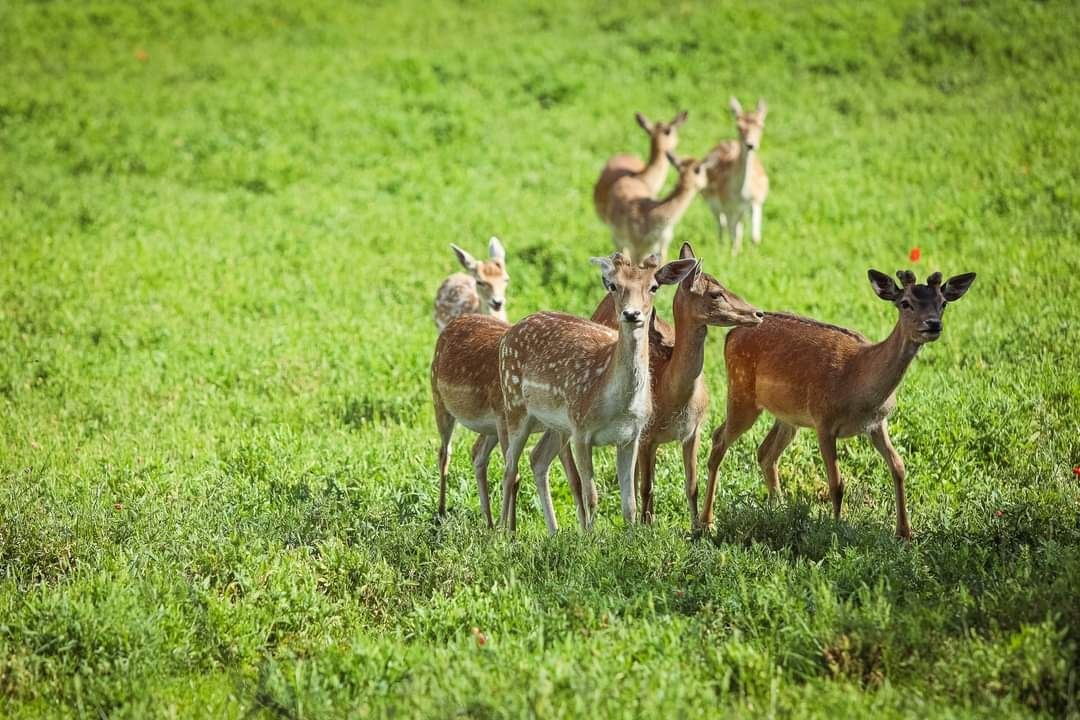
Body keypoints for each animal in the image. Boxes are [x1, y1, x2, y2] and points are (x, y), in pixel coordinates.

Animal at [432, 315, 583, 528]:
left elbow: (573, 477)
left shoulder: (557, 427)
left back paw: (488, 522)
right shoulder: (504, 415)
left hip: (491, 427)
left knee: (477, 453)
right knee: (444, 452)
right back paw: (442, 513)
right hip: (439, 398)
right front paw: (511, 531)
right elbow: (514, 473)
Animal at [498, 250, 699, 533]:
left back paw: (554, 532)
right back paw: (503, 533)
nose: (631, 314)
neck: (618, 405)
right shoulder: (582, 431)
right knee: (509, 467)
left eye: (654, 287)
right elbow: (591, 495)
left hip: (557, 424)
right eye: (614, 286)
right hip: (514, 403)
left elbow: (630, 503)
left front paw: (629, 536)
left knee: (537, 458)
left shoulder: (631, 436)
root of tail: (509, 333)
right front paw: (590, 538)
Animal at [591, 241, 768, 528]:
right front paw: (647, 527)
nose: (758, 313)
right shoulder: (647, 435)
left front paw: (696, 527)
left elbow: (691, 484)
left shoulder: (694, 431)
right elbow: (647, 487)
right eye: (716, 293)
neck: (671, 393)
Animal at [699, 97, 768, 255]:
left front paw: (752, 254)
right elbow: (733, 235)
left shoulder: (756, 201)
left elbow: (754, 237)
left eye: (761, 126)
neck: (741, 194)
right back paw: (721, 246)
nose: (750, 145)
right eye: (739, 127)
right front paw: (733, 255)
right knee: (722, 224)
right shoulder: (728, 206)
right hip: (712, 202)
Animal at [699, 269, 980, 539]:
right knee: (719, 439)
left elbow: (899, 467)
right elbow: (837, 483)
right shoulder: (824, 421)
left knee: (765, 451)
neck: (858, 386)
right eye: (905, 303)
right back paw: (707, 523)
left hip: (788, 416)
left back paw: (778, 510)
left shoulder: (878, 423)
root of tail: (730, 334)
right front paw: (836, 528)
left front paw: (905, 534)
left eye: (943, 303)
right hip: (741, 392)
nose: (933, 324)